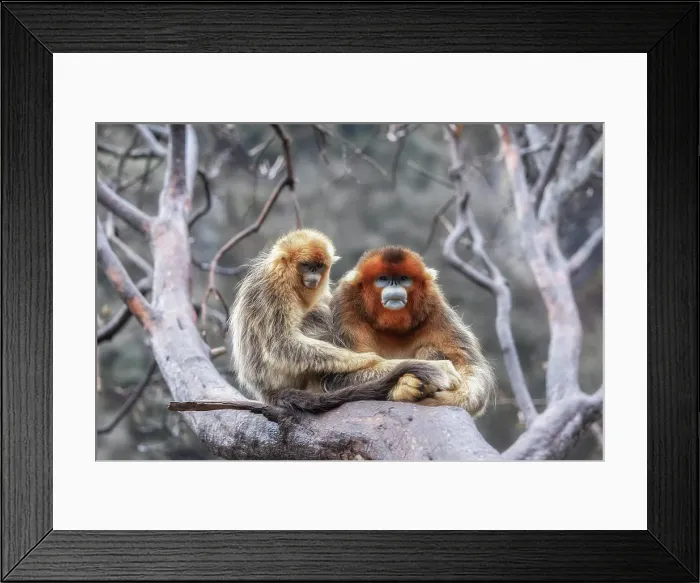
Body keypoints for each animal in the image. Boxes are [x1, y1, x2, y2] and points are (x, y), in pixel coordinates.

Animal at [226, 229, 462, 417]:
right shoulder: (275, 287)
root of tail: (265, 391)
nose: (313, 278)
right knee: (317, 315)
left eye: (318, 267)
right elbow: (281, 344)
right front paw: (369, 359)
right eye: (306, 266)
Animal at [329, 245, 498, 417]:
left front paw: (446, 398)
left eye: (404, 278)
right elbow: (337, 377)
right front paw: (436, 371)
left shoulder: (434, 305)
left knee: (429, 349)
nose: (394, 285)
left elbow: (472, 366)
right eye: (383, 278)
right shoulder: (345, 306)